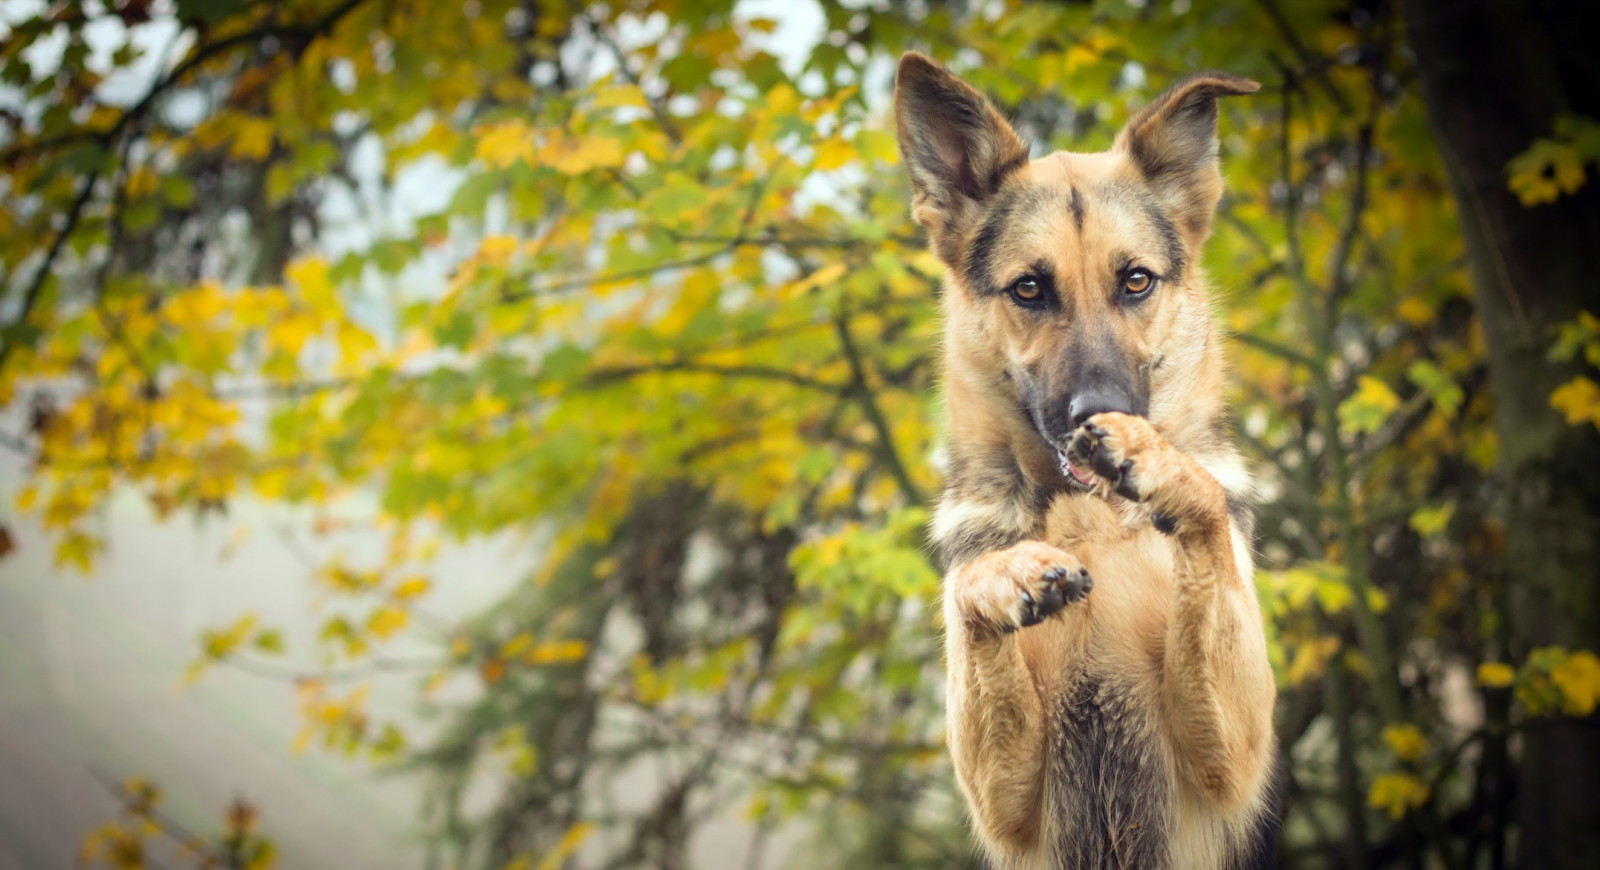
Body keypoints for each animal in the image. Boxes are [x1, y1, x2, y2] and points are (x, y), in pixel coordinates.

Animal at [896, 54, 1280, 870]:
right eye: (1029, 288)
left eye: (1135, 280)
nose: (1093, 413)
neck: (1090, 522)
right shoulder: (1004, 797)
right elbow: (973, 589)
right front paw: (1005, 575)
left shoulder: (1229, 752)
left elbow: (1204, 513)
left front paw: (1157, 460)